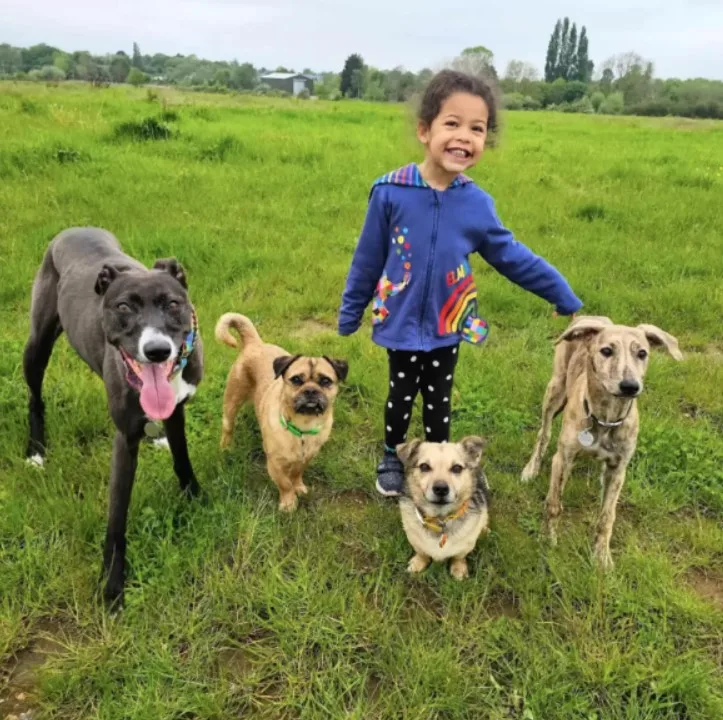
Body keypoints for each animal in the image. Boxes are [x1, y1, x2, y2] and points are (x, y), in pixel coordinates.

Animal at [215, 316, 348, 512]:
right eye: (296, 380)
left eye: (325, 381)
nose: (310, 390)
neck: (303, 426)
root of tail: (255, 343)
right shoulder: (275, 464)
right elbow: (284, 483)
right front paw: (288, 503)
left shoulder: (306, 458)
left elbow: (296, 474)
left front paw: (298, 487)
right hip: (232, 401)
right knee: (228, 427)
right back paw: (225, 448)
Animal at [396, 436, 492, 584]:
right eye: (424, 466)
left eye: (457, 468)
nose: (441, 488)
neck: (440, 519)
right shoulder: (414, 540)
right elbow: (421, 553)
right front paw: (418, 563)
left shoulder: (466, 546)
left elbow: (458, 557)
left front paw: (458, 569)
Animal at [524, 316, 680, 568]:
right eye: (606, 351)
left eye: (642, 353)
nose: (630, 386)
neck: (606, 419)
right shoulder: (563, 459)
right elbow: (554, 504)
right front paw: (548, 540)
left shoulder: (618, 469)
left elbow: (607, 516)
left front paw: (601, 557)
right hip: (555, 391)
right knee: (543, 434)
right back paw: (531, 468)